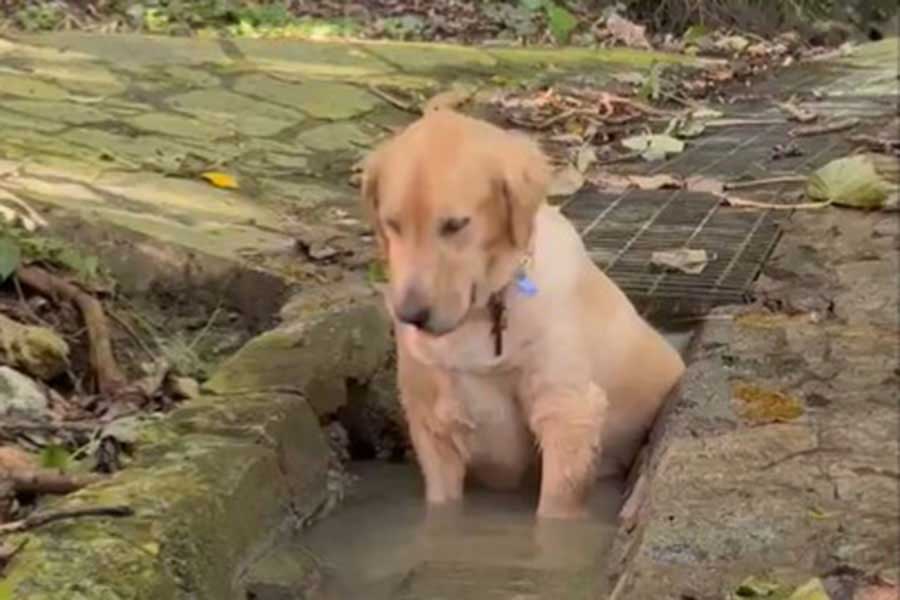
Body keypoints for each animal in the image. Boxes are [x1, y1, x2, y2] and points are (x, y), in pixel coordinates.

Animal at [358, 110, 684, 516]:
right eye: (392, 224)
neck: (483, 313)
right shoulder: (432, 424)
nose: (410, 315)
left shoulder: (567, 412)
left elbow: (553, 513)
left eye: (455, 225)